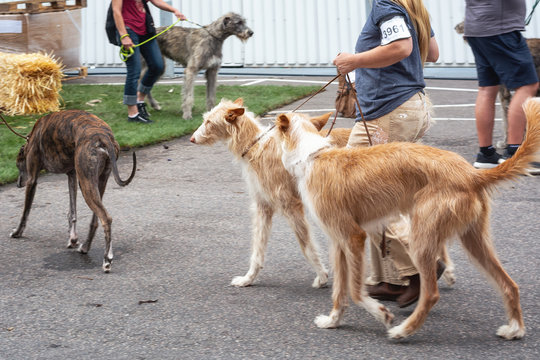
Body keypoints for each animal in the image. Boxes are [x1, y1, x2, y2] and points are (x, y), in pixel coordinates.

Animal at [190, 97, 350, 286]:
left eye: (208, 121)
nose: (191, 138)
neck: (255, 147)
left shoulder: (291, 206)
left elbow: (307, 247)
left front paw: (322, 276)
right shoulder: (263, 206)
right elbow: (257, 249)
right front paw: (248, 279)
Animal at [274, 97, 540, 338]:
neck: (312, 157)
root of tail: (470, 174)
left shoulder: (353, 237)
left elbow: (356, 291)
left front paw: (381, 314)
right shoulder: (338, 242)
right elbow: (340, 290)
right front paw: (333, 321)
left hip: (421, 240)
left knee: (431, 294)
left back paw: (404, 330)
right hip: (474, 240)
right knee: (509, 284)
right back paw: (515, 329)